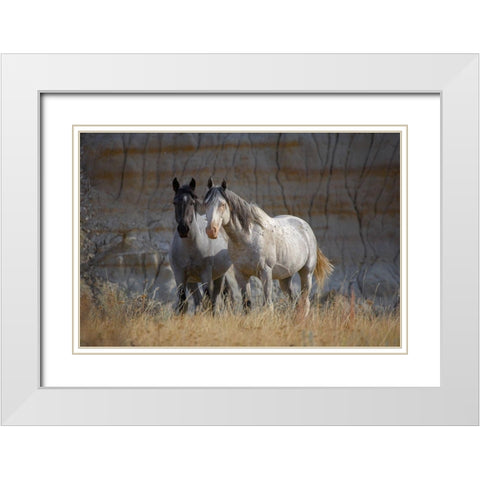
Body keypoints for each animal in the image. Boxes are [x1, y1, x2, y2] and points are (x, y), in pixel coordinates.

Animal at [169, 178, 234, 314]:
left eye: (192, 202)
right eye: (174, 202)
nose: (183, 229)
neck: (190, 249)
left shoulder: (206, 276)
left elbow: (209, 300)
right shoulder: (180, 276)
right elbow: (183, 303)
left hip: (219, 276)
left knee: (214, 300)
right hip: (192, 281)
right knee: (198, 300)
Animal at [203, 178, 334, 316]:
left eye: (222, 204)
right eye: (205, 203)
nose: (211, 230)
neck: (248, 238)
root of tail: (306, 226)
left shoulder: (265, 272)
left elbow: (268, 305)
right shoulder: (241, 275)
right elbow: (247, 305)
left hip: (306, 273)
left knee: (305, 302)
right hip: (285, 279)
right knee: (294, 301)